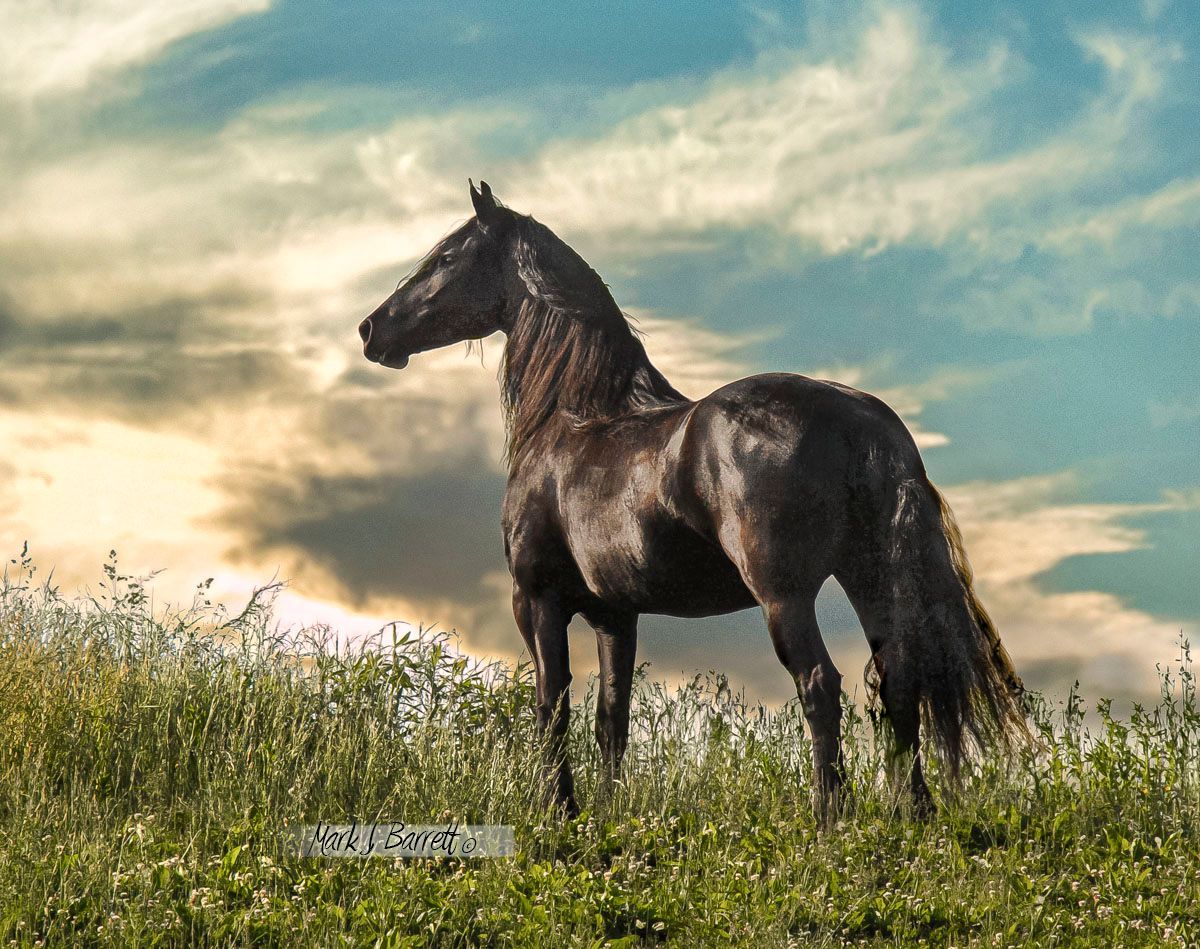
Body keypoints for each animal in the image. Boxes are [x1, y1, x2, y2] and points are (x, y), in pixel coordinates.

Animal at [359, 180, 1027, 826]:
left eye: (447, 257)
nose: (370, 329)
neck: (573, 417)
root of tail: (857, 416)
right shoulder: (615, 615)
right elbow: (611, 718)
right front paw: (605, 818)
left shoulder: (537, 600)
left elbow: (553, 709)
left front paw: (560, 814)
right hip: (870, 583)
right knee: (899, 683)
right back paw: (913, 814)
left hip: (784, 596)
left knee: (820, 685)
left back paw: (829, 821)